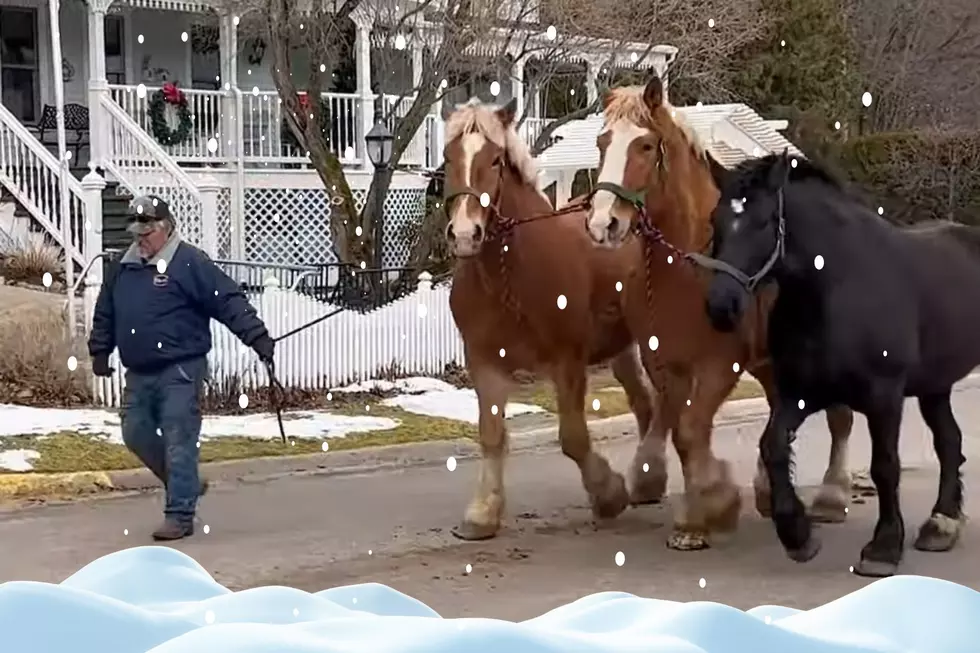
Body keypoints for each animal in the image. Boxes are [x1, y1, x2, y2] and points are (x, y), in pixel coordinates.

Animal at [444, 98, 668, 540]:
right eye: (447, 157)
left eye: (495, 160)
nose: (464, 234)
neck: (508, 275)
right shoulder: (485, 363)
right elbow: (491, 434)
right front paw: (483, 513)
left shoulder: (567, 361)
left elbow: (573, 438)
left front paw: (608, 494)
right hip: (622, 350)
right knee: (645, 403)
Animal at [580, 74, 856, 548]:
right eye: (602, 141)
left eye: (645, 146)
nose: (603, 224)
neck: (686, 263)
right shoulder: (665, 362)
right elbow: (682, 432)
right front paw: (703, 508)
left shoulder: (720, 365)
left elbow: (693, 429)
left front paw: (707, 509)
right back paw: (769, 491)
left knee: (839, 416)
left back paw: (831, 496)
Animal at [700, 152, 976, 576]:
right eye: (715, 220)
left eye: (764, 220)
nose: (721, 306)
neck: (836, 287)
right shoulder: (798, 394)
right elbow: (773, 446)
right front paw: (798, 536)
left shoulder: (884, 397)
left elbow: (885, 466)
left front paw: (882, 548)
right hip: (935, 386)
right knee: (949, 441)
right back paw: (941, 524)